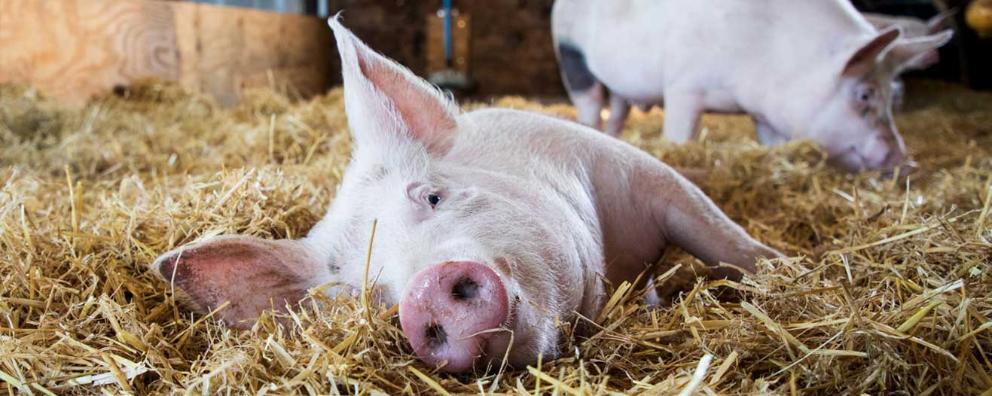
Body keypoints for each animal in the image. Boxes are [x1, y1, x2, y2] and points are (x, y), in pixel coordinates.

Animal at [151, 19, 784, 374]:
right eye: (367, 294)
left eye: (432, 197)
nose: (423, 295)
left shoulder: (633, 170)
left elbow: (722, 239)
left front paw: (784, 269)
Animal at [552, 0, 952, 171]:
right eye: (865, 94)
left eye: (894, 95)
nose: (902, 158)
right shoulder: (683, 86)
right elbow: (680, 137)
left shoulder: (766, 113)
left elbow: (770, 144)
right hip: (570, 53)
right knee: (590, 103)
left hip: (618, 84)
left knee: (618, 110)